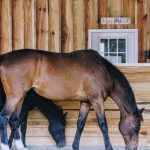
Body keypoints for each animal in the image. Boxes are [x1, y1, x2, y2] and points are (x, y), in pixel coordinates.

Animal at [0, 49, 144, 150]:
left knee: (14, 120)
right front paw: (109, 147)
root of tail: (5, 58)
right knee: (4, 117)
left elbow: (80, 124)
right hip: (14, 97)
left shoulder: (86, 102)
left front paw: (75, 146)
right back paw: (5, 146)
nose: (133, 147)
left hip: (20, 97)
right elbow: (103, 125)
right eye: (136, 126)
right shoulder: (96, 100)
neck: (103, 70)